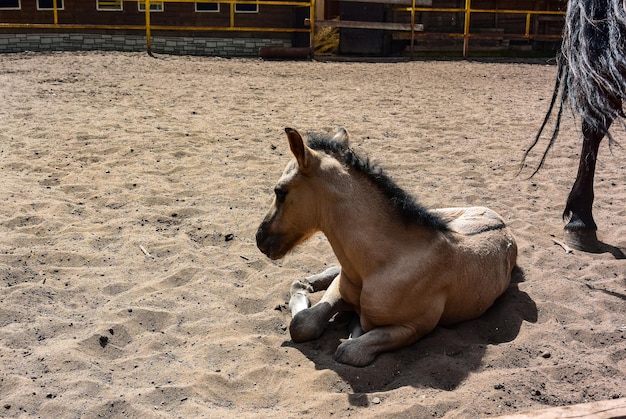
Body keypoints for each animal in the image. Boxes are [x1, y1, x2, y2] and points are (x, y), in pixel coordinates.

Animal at [255, 128, 516, 368]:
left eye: (280, 191)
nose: (259, 238)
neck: (385, 262)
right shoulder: (340, 287)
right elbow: (303, 324)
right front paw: (305, 296)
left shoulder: (414, 327)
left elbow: (348, 351)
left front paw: (352, 326)